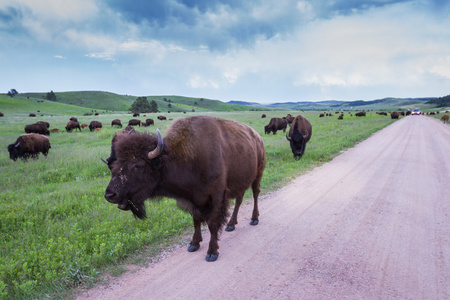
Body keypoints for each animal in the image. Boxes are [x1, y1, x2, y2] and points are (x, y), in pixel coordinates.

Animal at [103, 116, 266, 262]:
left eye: (138, 165)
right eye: (115, 164)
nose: (110, 195)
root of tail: (257, 137)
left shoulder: (217, 196)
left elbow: (212, 224)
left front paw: (212, 252)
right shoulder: (194, 199)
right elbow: (196, 220)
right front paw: (194, 244)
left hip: (257, 175)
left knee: (255, 194)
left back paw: (254, 219)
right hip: (242, 181)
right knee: (239, 199)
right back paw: (231, 225)